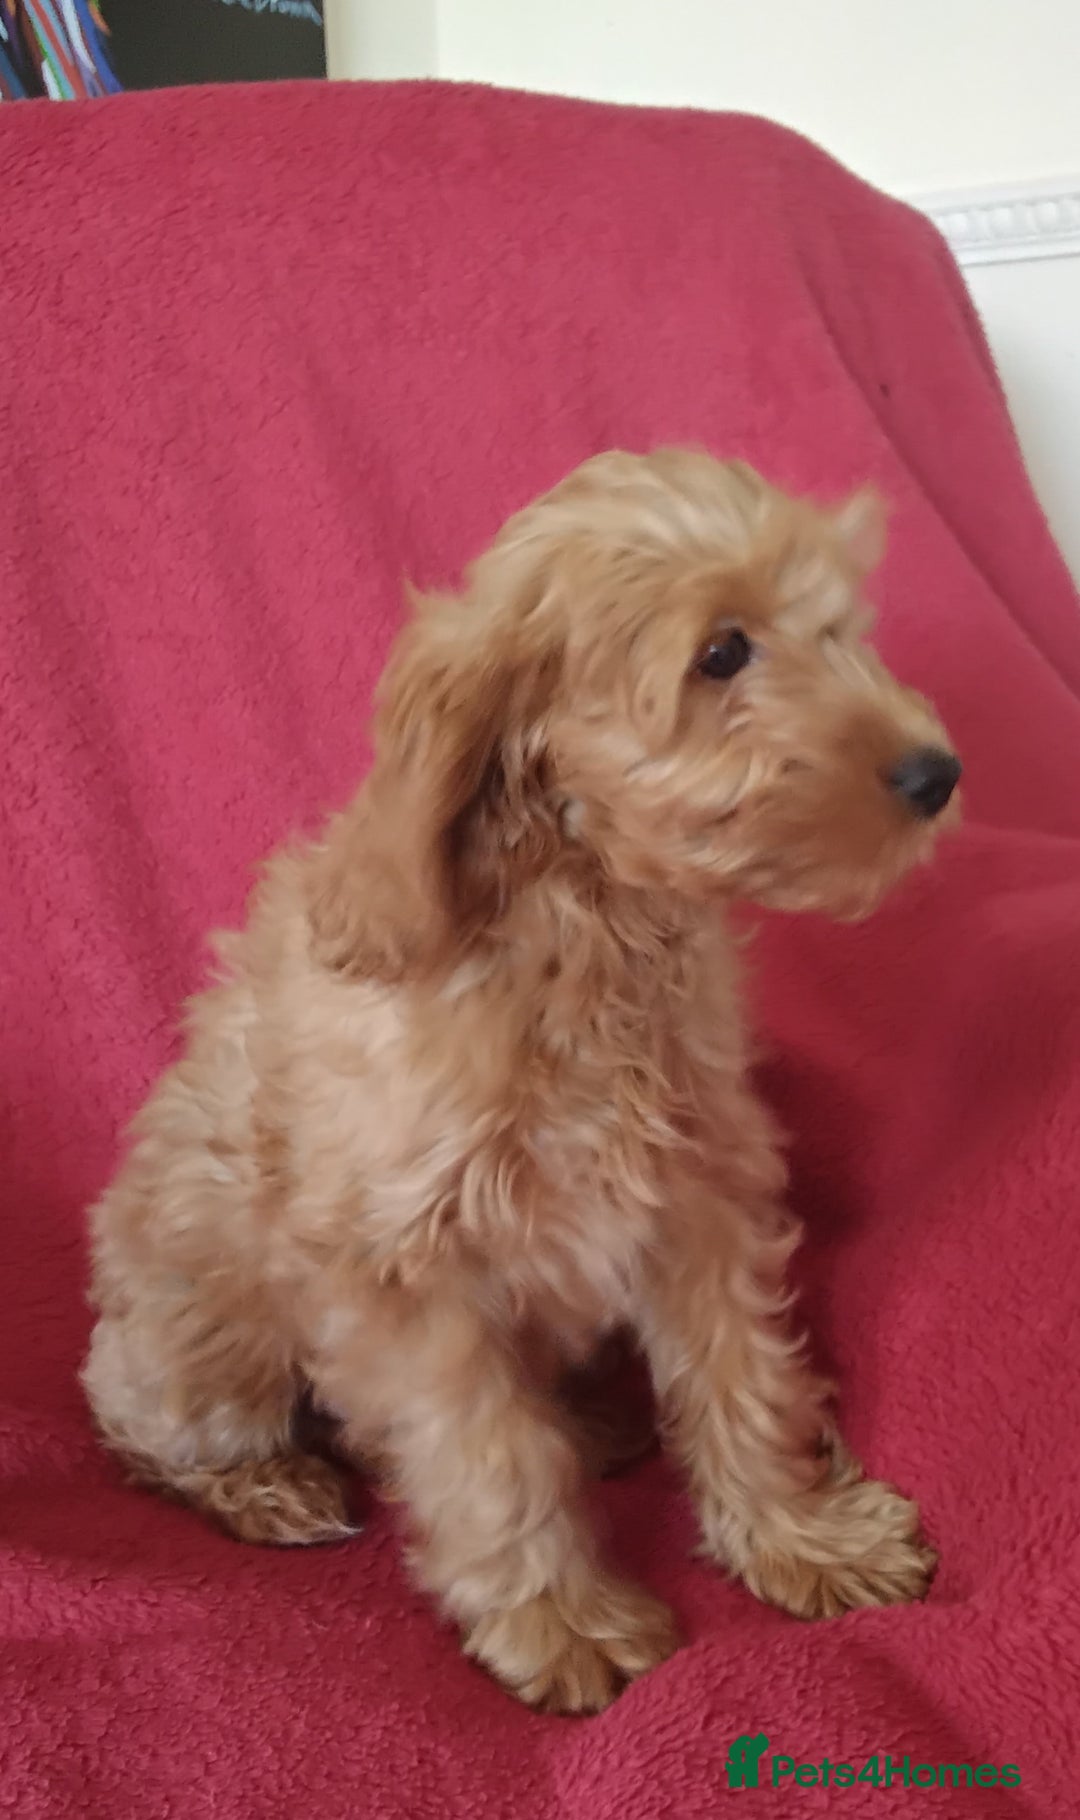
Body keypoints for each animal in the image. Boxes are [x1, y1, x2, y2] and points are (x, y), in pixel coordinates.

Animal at [83, 448, 960, 1714]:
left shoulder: (700, 1193)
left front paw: (799, 1532)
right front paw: (561, 1620)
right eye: (722, 651)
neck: (589, 928)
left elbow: (743, 1371)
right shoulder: (401, 1271)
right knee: (150, 1430)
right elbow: (483, 1452)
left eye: (837, 628)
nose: (941, 771)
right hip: (200, 1337)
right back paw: (268, 1485)